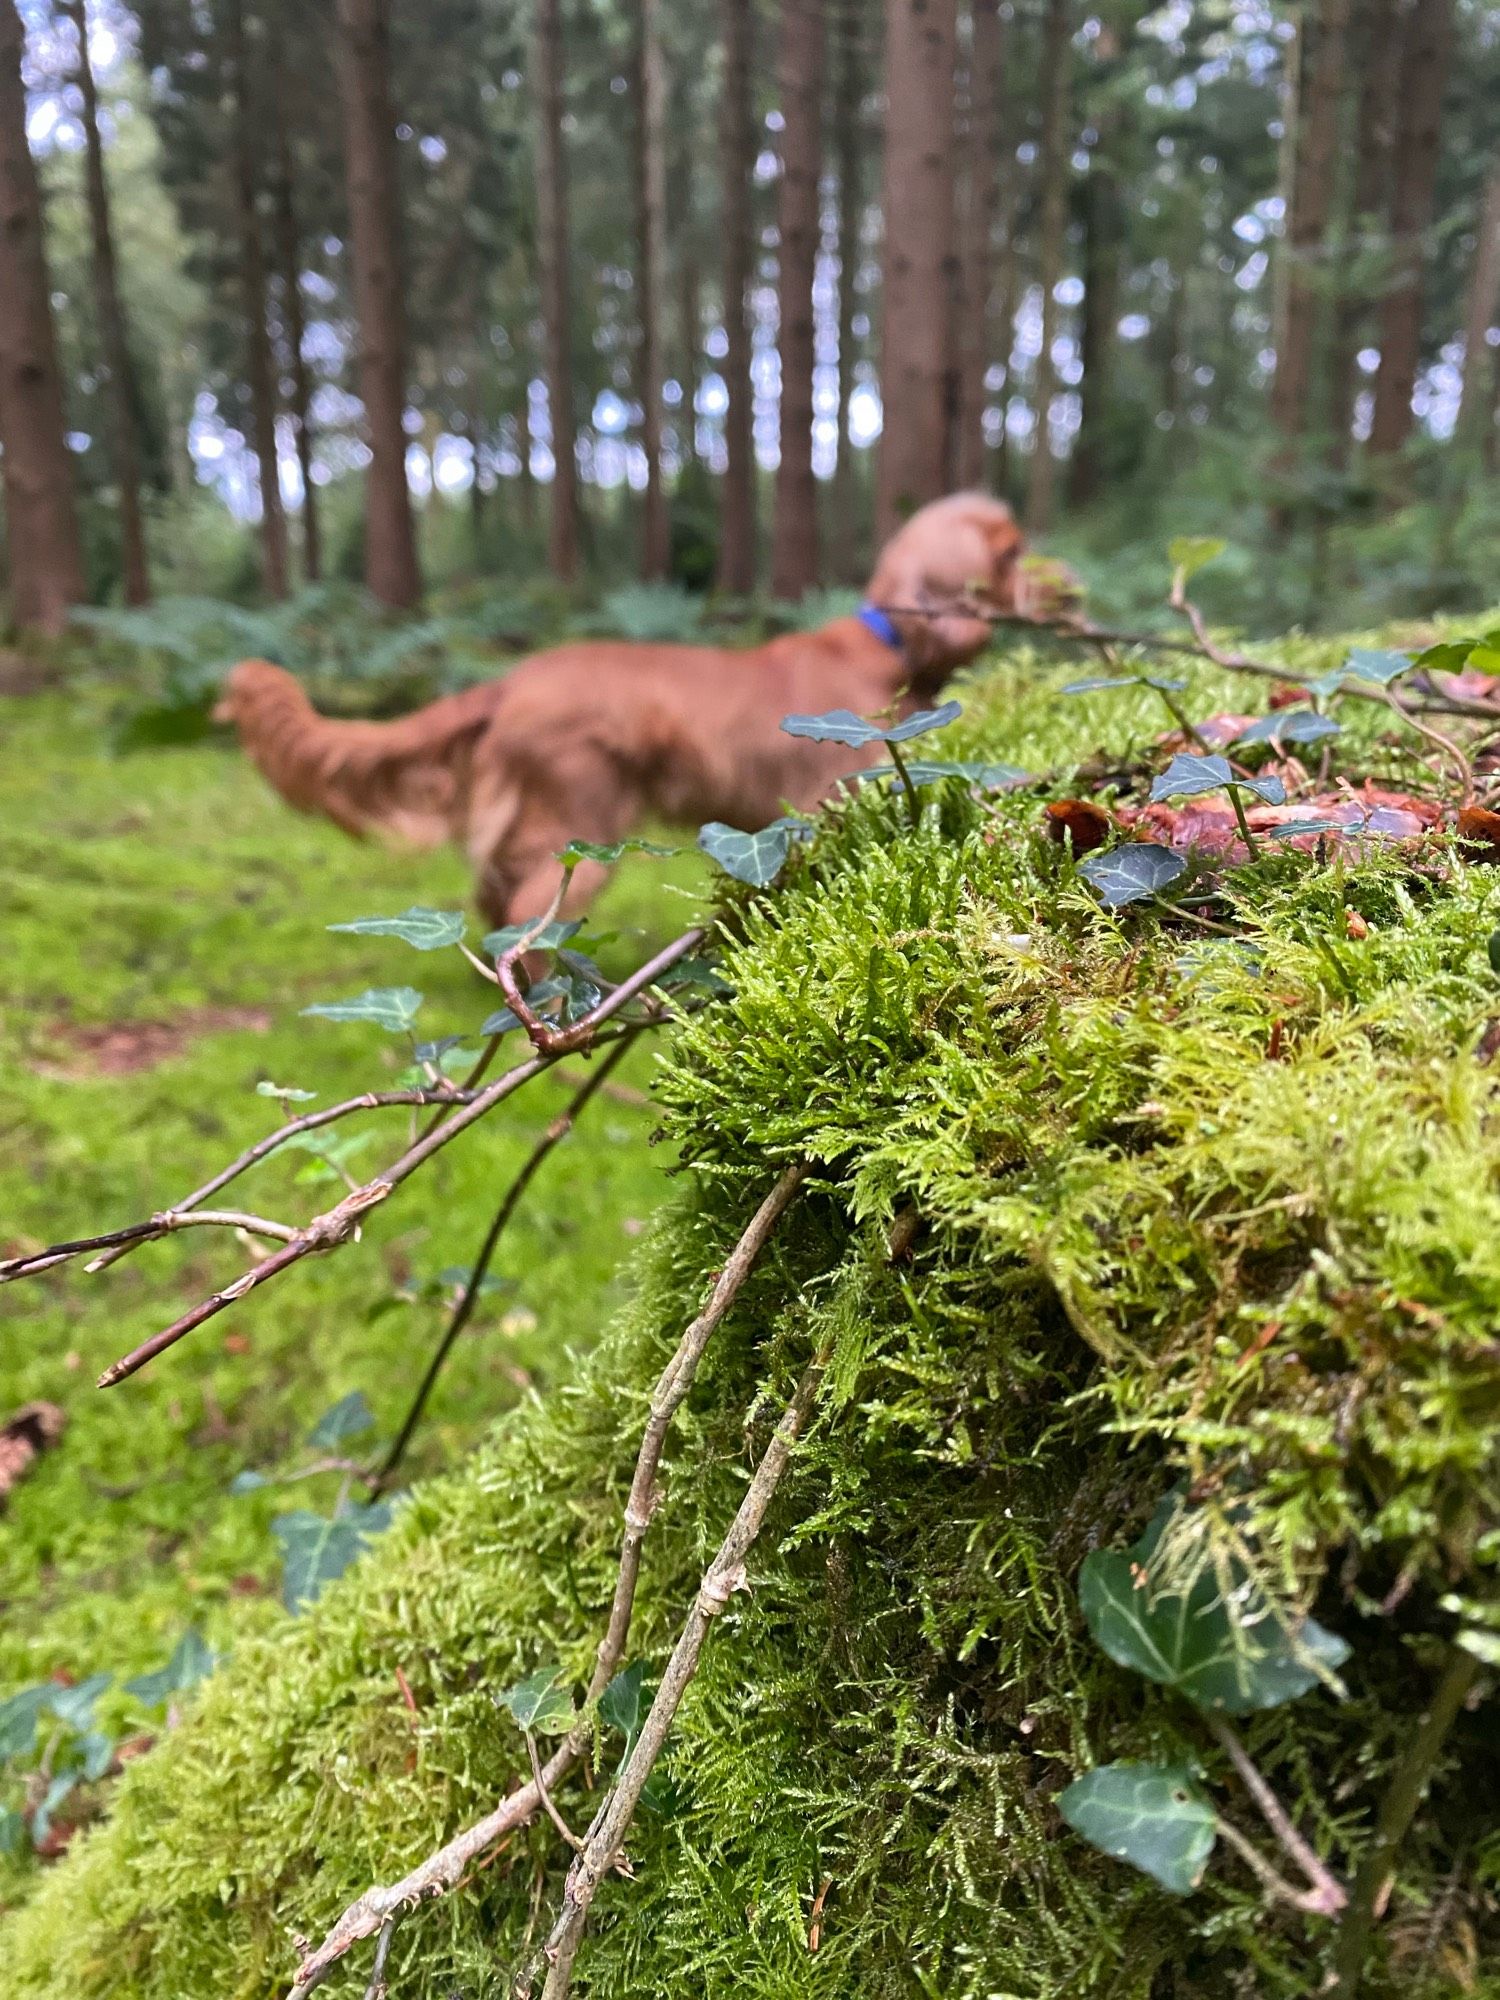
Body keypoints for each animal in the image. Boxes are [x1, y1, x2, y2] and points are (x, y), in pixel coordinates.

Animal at [214, 488, 1032, 924]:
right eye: (1012, 551)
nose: (1054, 581)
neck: (887, 639)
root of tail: (515, 678)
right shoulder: (828, 794)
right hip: (584, 827)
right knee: (528, 920)